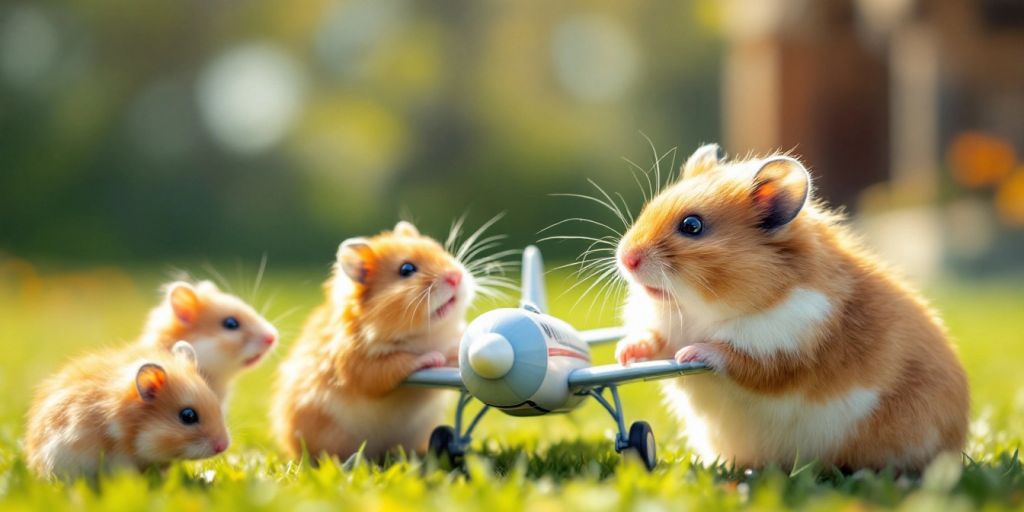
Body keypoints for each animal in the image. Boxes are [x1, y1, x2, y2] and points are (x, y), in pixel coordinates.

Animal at [272, 222, 479, 462]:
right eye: (406, 269)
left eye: (440, 250)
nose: (456, 277)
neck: (425, 334)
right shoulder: (357, 364)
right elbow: (398, 362)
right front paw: (433, 358)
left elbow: (454, 350)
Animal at [610, 144, 970, 471]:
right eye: (648, 208)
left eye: (692, 226)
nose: (626, 258)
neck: (701, 309)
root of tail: (960, 437)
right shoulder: (667, 329)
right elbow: (654, 342)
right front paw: (625, 353)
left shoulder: (784, 347)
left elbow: (734, 356)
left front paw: (690, 353)